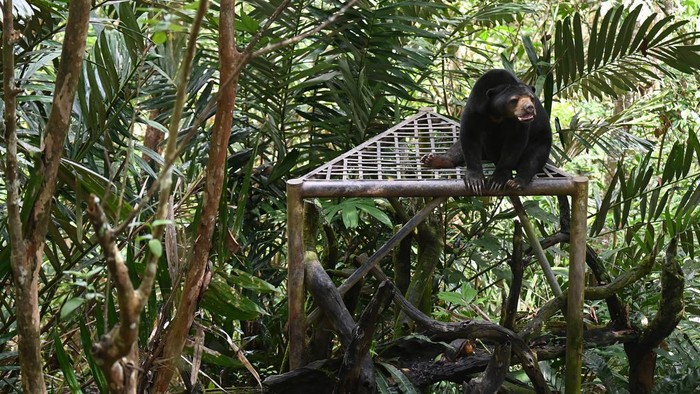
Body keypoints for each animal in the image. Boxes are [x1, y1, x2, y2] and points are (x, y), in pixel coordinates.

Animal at [422, 70, 552, 195]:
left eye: (531, 98)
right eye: (514, 100)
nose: (529, 108)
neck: (497, 113)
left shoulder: (519, 124)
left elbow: (515, 143)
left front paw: (498, 180)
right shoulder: (474, 108)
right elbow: (470, 136)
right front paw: (475, 181)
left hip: (542, 140)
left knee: (533, 158)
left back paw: (517, 182)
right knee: (459, 147)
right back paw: (432, 160)